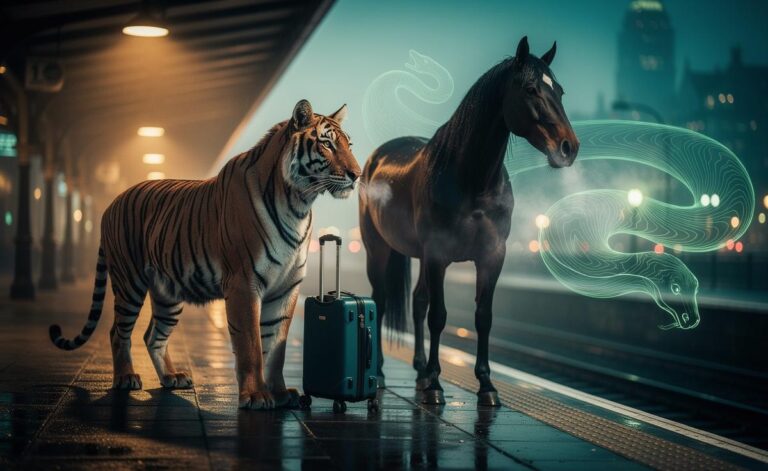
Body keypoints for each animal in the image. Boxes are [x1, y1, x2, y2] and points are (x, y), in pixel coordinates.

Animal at [49, 99, 360, 410]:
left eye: (349, 144)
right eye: (327, 144)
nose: (357, 175)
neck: (298, 203)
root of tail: (110, 204)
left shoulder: (286, 288)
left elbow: (276, 348)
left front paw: (281, 394)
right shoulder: (244, 283)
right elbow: (251, 344)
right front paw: (256, 396)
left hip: (168, 293)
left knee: (152, 335)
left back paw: (172, 377)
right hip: (129, 282)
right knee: (118, 331)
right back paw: (126, 377)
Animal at [358, 36, 579, 406]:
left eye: (560, 90)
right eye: (531, 88)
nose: (569, 148)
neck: (472, 181)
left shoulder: (491, 256)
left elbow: (482, 317)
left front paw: (486, 386)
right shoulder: (438, 255)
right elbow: (439, 316)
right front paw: (436, 385)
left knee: (417, 302)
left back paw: (419, 369)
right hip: (378, 249)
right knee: (382, 300)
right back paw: (382, 372)